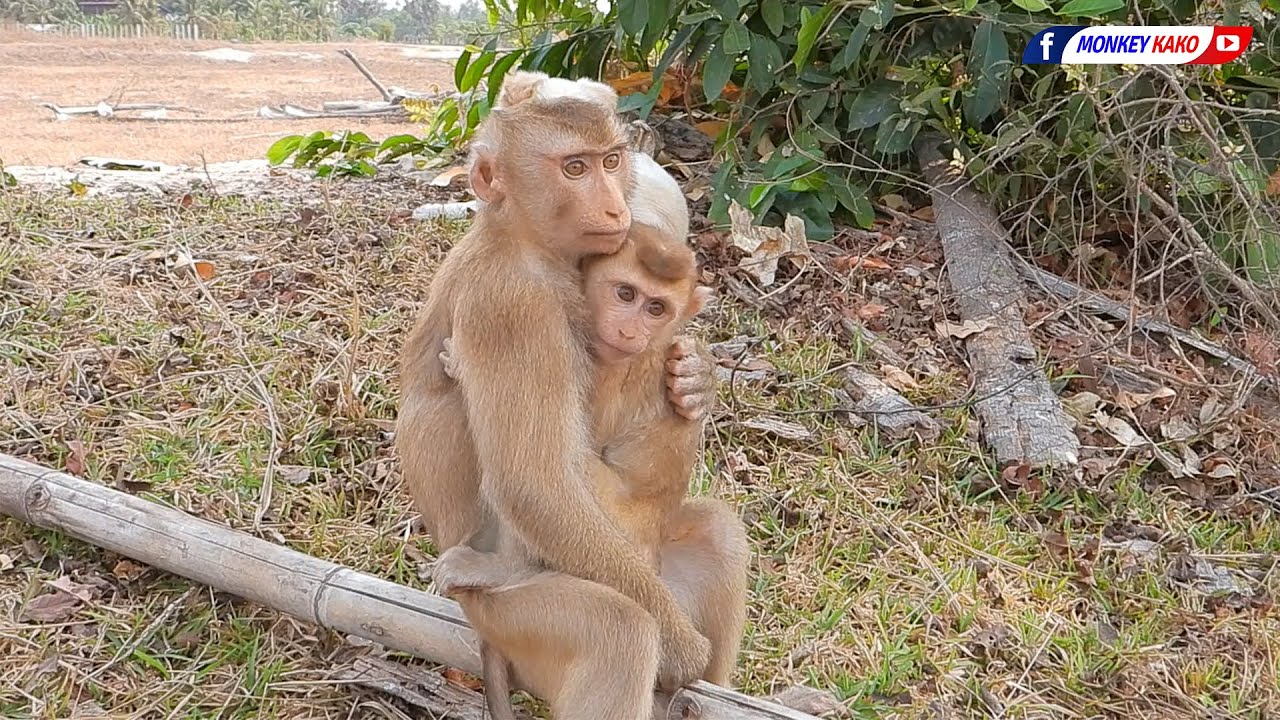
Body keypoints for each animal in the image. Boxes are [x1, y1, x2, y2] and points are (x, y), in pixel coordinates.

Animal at [395, 70, 726, 719]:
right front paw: (681, 652)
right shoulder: (515, 307)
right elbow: (535, 483)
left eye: (610, 160)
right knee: (619, 631)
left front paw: (695, 380)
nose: (615, 203)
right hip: (516, 614)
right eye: (575, 167)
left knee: (716, 530)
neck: (519, 239)